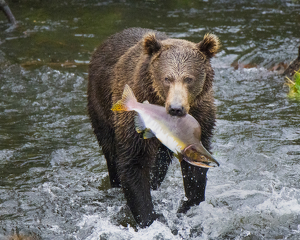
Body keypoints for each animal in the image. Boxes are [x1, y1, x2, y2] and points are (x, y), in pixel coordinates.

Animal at [87, 27, 220, 227]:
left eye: (189, 79)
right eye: (167, 78)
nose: (176, 108)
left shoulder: (202, 118)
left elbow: (195, 169)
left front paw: (187, 206)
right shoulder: (134, 117)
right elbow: (134, 162)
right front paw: (151, 217)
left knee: (160, 162)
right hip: (101, 105)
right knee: (111, 151)